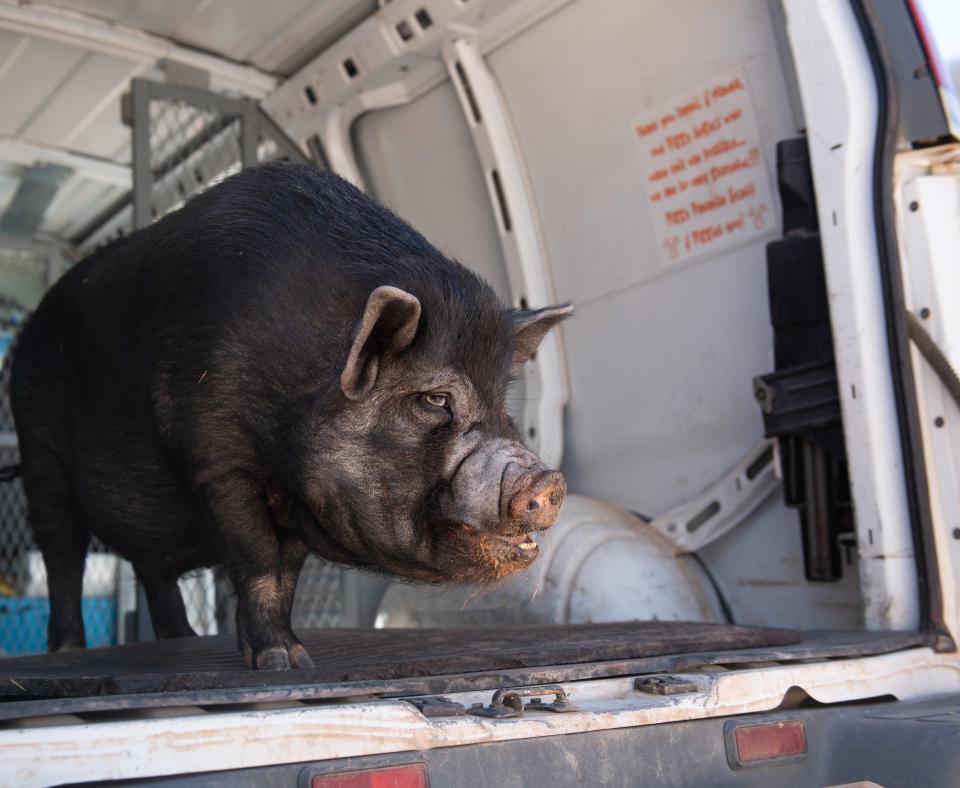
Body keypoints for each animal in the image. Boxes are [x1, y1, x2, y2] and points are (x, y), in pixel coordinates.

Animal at [11, 163, 568, 668]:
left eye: (500, 400)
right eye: (434, 399)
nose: (549, 480)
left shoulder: (304, 504)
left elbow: (286, 575)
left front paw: (289, 659)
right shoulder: (218, 464)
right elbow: (257, 559)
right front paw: (282, 662)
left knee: (153, 571)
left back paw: (182, 643)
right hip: (36, 446)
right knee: (62, 554)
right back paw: (66, 652)